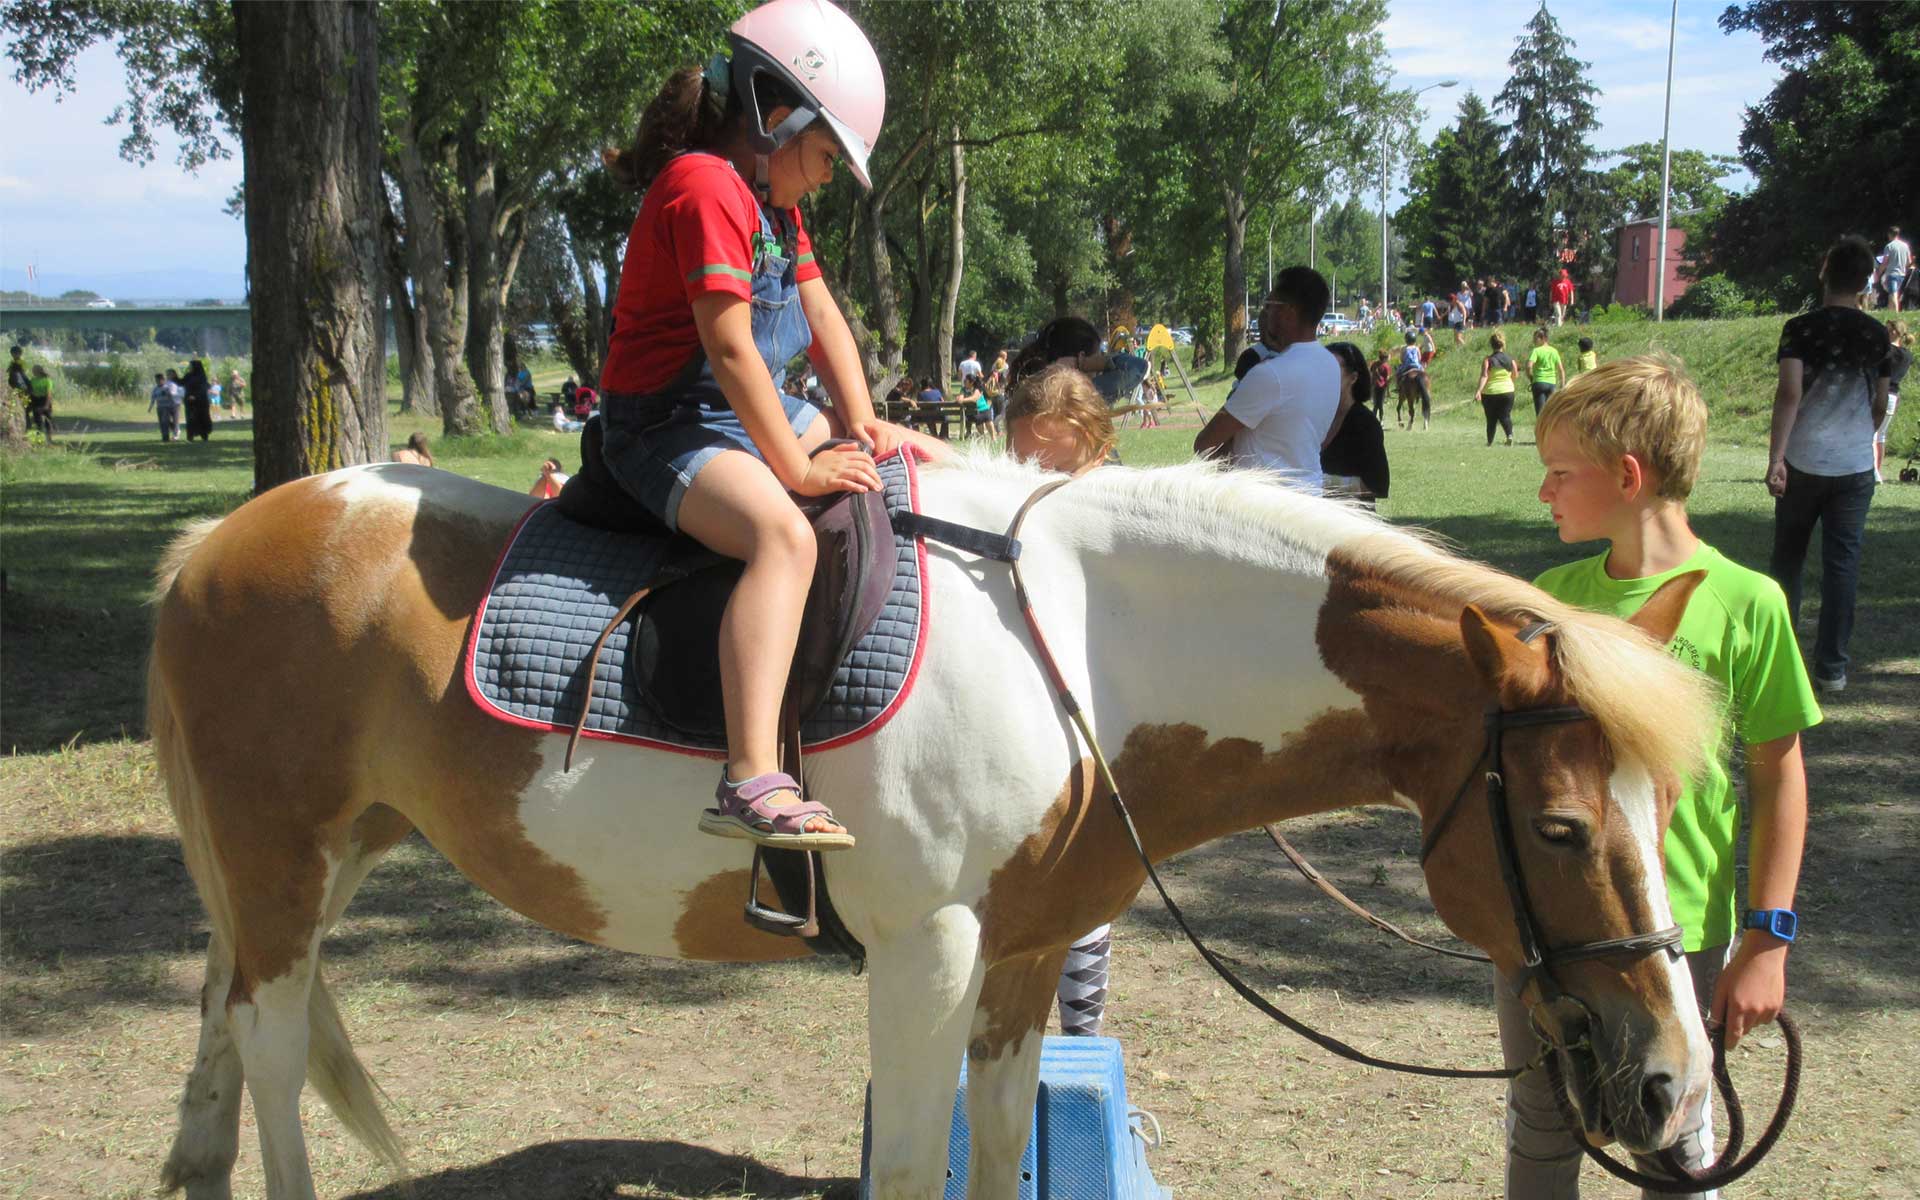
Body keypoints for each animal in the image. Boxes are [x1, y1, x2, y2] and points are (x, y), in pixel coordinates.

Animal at [145, 451, 1712, 1198]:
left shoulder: (1022, 962)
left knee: (221, 1028)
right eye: (1560, 829)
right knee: (271, 1053)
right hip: (281, 863)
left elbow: (1000, 1149)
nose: (1670, 1086)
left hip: (314, 864)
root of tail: (219, 542)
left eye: (1675, 811)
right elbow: (910, 1165)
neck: (1079, 653)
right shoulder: (928, 957)